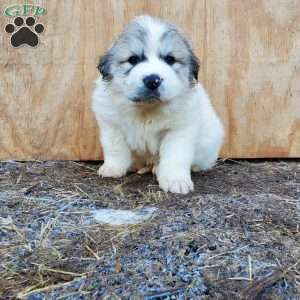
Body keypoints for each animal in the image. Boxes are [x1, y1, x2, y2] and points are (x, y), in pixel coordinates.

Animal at [92, 15, 224, 195]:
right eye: (133, 59)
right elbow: (115, 149)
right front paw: (112, 169)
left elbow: (175, 157)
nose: (152, 80)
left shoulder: (179, 130)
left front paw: (176, 181)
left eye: (170, 59)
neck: (147, 109)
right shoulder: (112, 125)